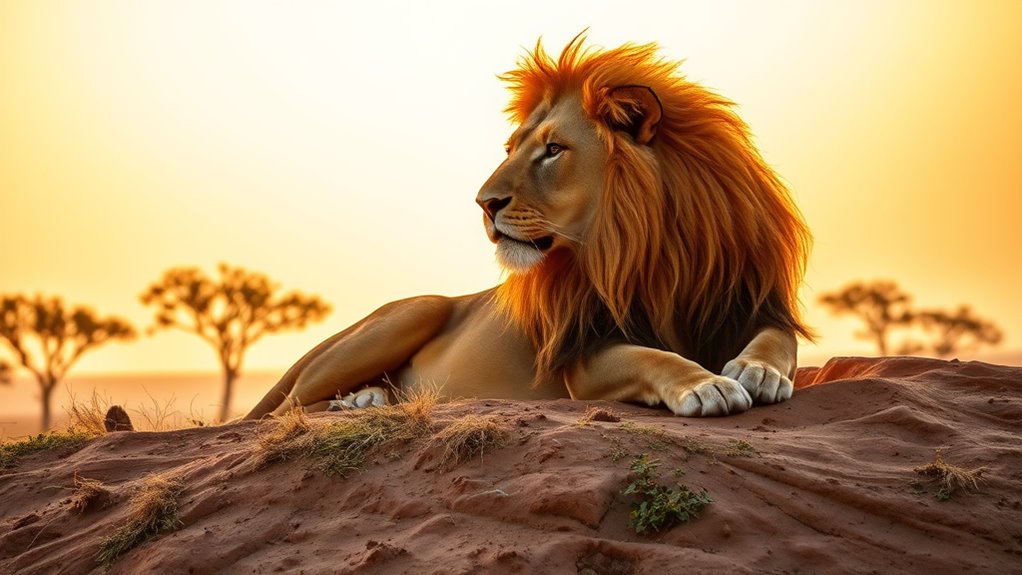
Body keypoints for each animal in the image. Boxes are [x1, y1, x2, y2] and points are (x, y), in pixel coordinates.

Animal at [245, 36, 812, 420]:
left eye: (553, 149)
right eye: (510, 148)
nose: (483, 203)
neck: (657, 251)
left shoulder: (746, 303)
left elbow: (777, 340)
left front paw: (756, 372)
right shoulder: (584, 356)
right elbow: (653, 355)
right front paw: (704, 385)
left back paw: (372, 398)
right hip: (410, 313)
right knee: (285, 413)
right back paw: (357, 402)